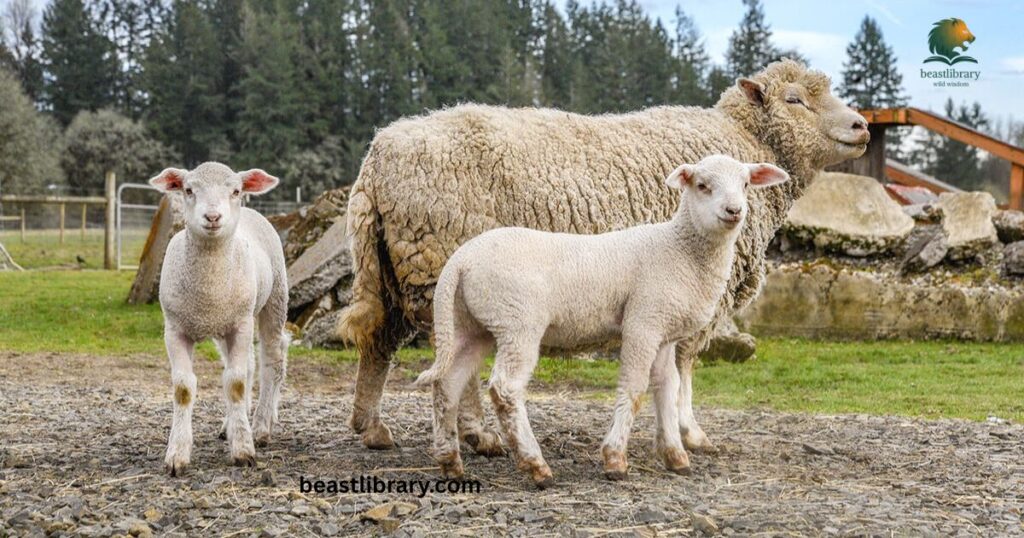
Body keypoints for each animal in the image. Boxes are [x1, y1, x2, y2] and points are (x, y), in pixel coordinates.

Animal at [150, 162, 290, 476]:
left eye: (235, 191)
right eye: (188, 190)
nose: (213, 217)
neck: (208, 294)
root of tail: (251, 212)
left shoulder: (240, 325)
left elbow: (235, 384)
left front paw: (244, 451)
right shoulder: (175, 329)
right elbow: (184, 388)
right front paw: (177, 454)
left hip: (273, 300)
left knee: (272, 360)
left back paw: (261, 426)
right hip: (228, 324)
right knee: (248, 365)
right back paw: (233, 424)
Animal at [339, 59, 869, 452]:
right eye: (794, 99)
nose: (862, 125)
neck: (744, 141)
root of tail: (376, 159)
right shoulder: (697, 286)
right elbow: (685, 362)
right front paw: (691, 431)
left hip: (394, 263)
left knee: (380, 341)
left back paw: (372, 427)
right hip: (440, 258)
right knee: (449, 358)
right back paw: (477, 434)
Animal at [416, 155, 790, 487]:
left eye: (745, 184)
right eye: (702, 185)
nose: (734, 211)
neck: (680, 250)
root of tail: (460, 261)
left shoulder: (664, 331)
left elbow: (666, 387)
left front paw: (675, 456)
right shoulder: (643, 321)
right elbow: (636, 388)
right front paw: (615, 460)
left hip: (471, 325)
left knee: (447, 383)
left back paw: (450, 462)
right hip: (517, 322)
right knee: (505, 389)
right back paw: (536, 466)